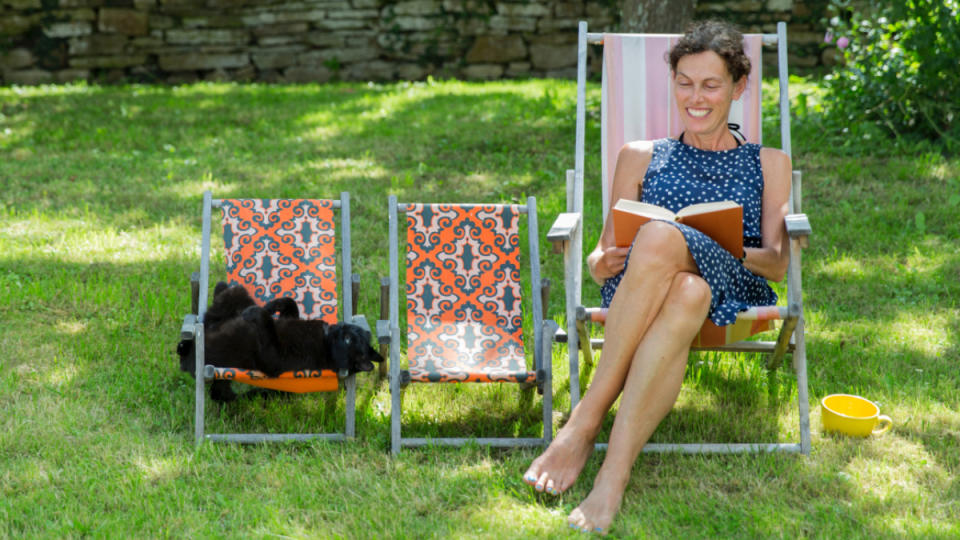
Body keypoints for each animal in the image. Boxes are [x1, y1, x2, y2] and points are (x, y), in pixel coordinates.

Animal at [178, 282, 380, 400]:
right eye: (348, 333)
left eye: (348, 340)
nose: (339, 328)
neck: (323, 339)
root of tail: (187, 363)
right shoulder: (289, 317)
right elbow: (291, 303)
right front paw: (271, 305)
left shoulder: (274, 359)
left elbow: (267, 323)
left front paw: (257, 312)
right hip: (236, 296)